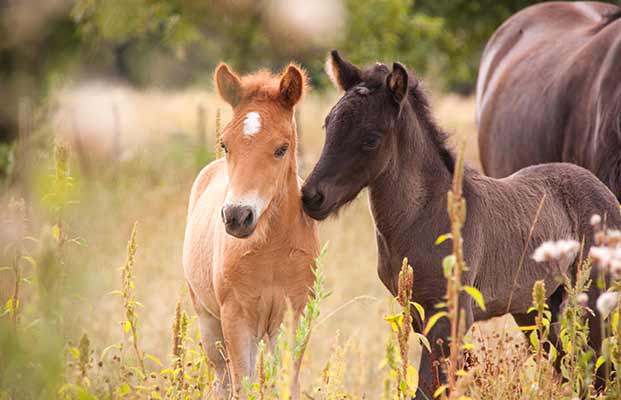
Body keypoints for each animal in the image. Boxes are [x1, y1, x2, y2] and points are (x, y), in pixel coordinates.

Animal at [182, 64, 318, 398]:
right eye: (225, 144)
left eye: (282, 148)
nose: (237, 216)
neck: (271, 250)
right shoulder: (236, 317)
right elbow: (243, 383)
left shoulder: (294, 312)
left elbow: (286, 382)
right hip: (209, 320)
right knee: (222, 377)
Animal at [302, 51, 620, 398]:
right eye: (328, 125)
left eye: (371, 139)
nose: (311, 196)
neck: (422, 217)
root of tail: (604, 192)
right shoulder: (418, 315)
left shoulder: (451, 317)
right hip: (537, 306)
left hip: (593, 299)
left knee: (600, 370)